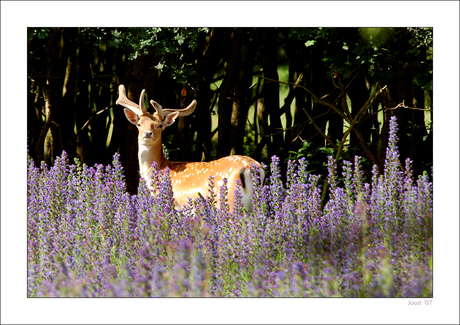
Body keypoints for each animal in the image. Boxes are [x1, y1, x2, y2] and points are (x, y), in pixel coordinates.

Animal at [117, 83, 264, 211]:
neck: (158, 170)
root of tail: (251, 167)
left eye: (159, 125)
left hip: (229, 200)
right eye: (139, 124)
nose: (147, 133)